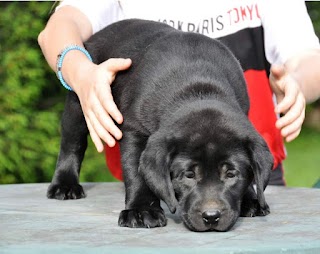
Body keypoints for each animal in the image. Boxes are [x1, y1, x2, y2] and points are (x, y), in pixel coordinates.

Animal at [47, 18, 272, 231]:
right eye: (189, 175)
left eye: (231, 174)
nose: (211, 216)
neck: (199, 90)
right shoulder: (134, 129)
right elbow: (137, 173)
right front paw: (141, 210)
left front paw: (251, 198)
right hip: (81, 101)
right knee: (72, 143)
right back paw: (64, 185)